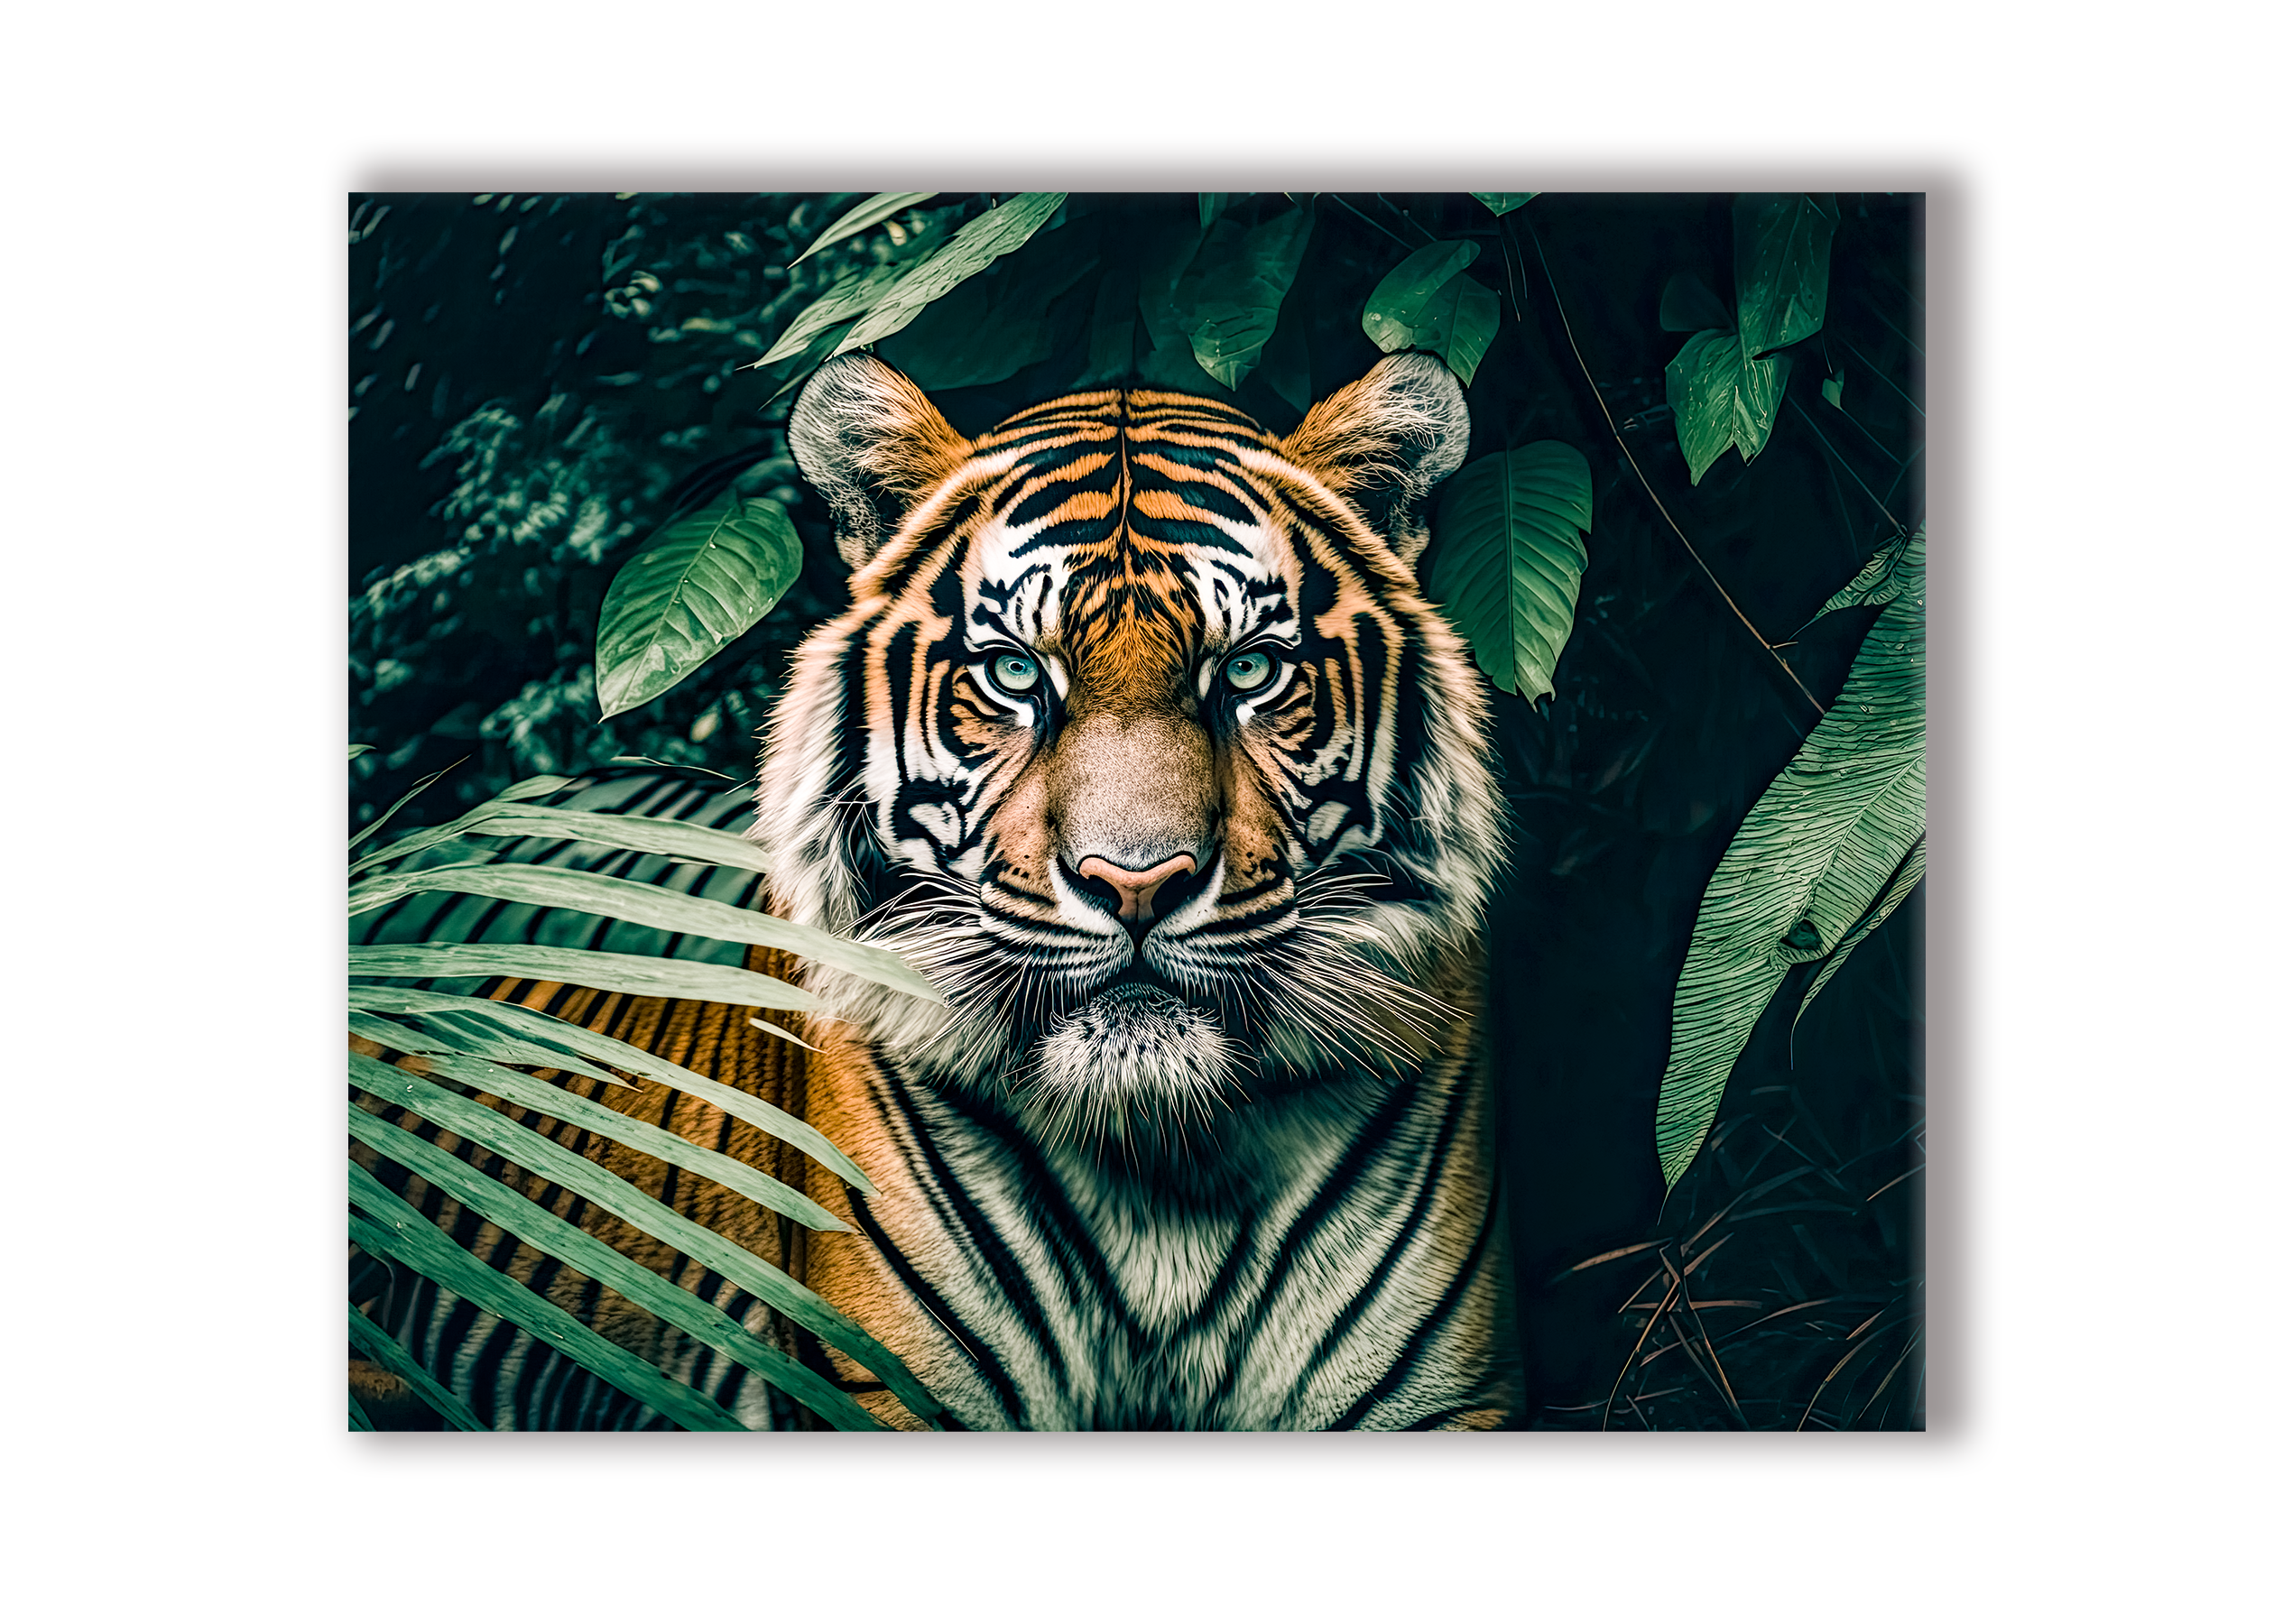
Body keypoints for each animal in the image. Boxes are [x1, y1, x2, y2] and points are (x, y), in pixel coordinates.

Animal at [350, 348, 1519, 1430]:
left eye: (1247, 671)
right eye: (1013, 673)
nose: (1137, 884)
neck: (1165, 1161)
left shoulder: (1440, 1400)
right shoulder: (893, 1388)